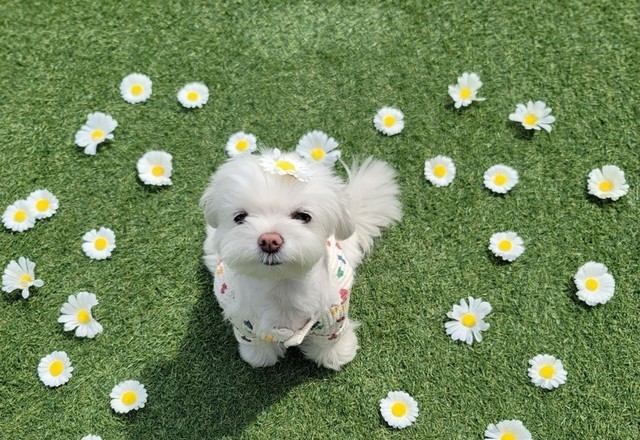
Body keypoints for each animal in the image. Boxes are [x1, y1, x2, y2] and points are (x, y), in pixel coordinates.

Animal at [200, 148, 401, 370]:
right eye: (240, 217)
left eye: (303, 216)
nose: (269, 241)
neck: (282, 287)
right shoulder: (244, 323)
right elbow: (257, 347)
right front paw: (260, 356)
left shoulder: (333, 320)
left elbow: (331, 343)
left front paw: (336, 355)